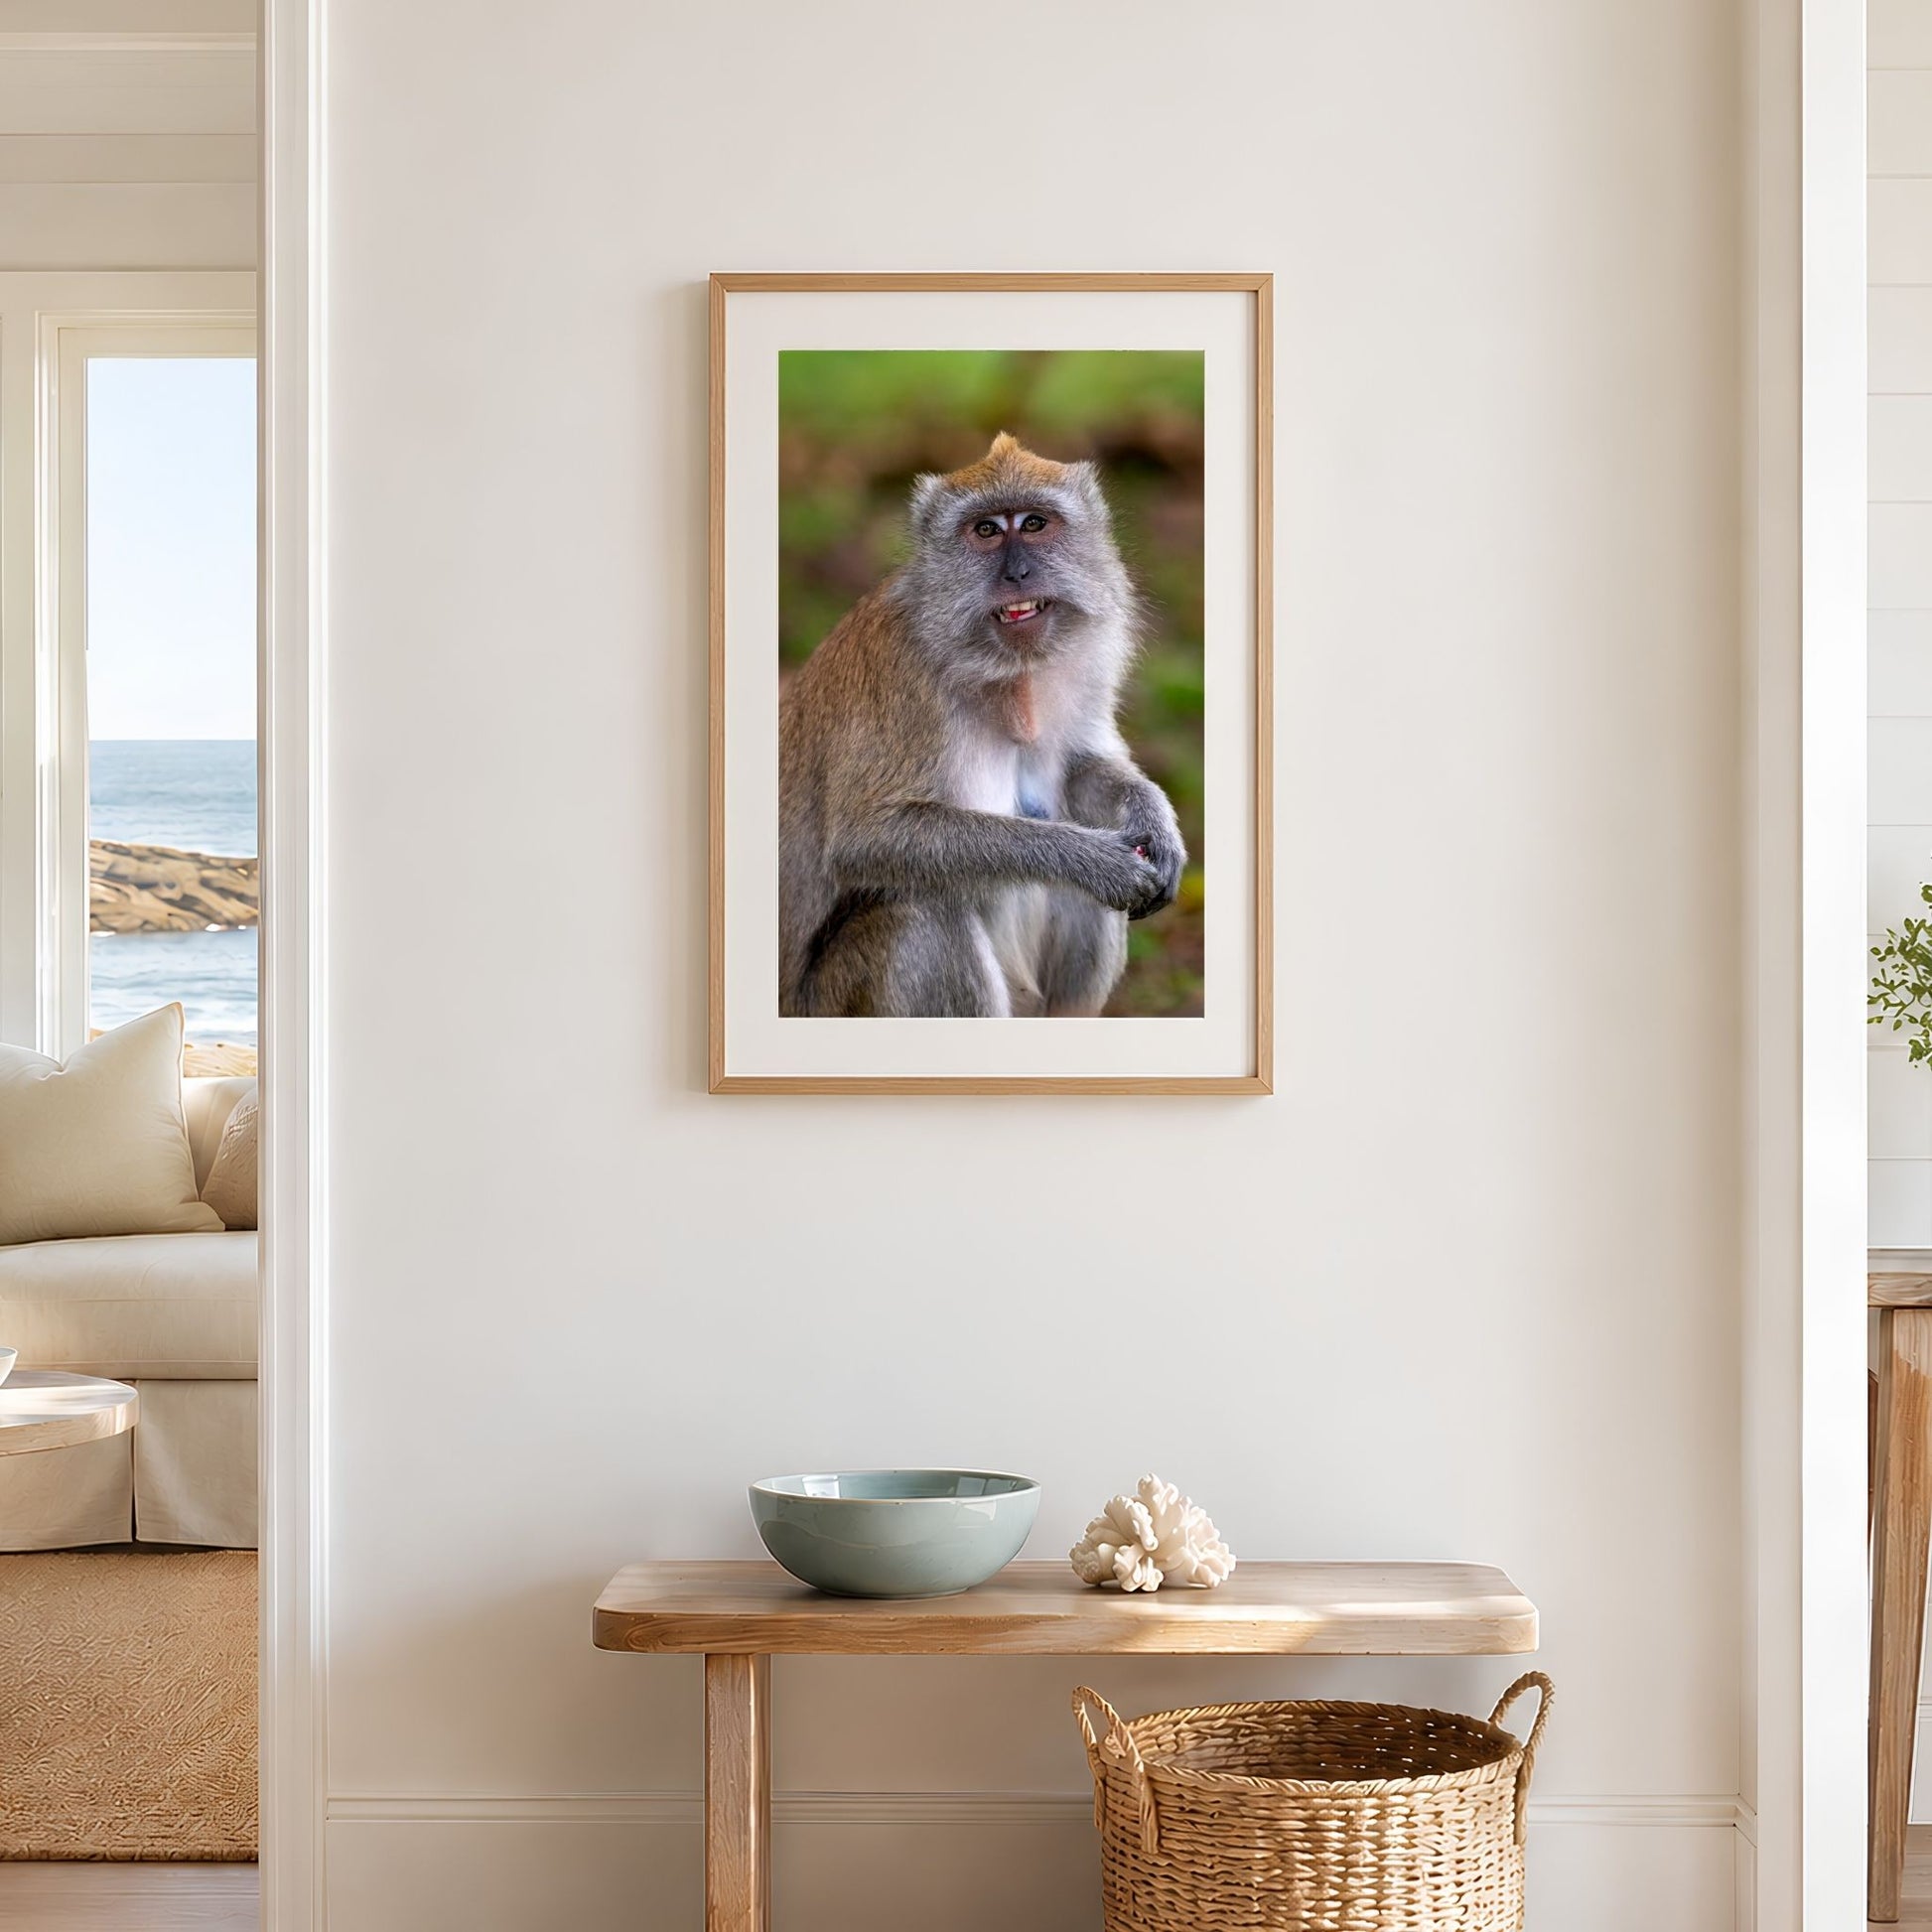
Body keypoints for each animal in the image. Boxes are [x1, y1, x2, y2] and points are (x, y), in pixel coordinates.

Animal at [778, 432, 1187, 1018]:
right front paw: (1090, 860)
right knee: (920, 910)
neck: (1002, 671)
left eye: (1034, 523)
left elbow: (1083, 768)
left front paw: (1154, 819)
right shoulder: (902, 674)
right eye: (987, 530)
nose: (1017, 574)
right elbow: (867, 839)